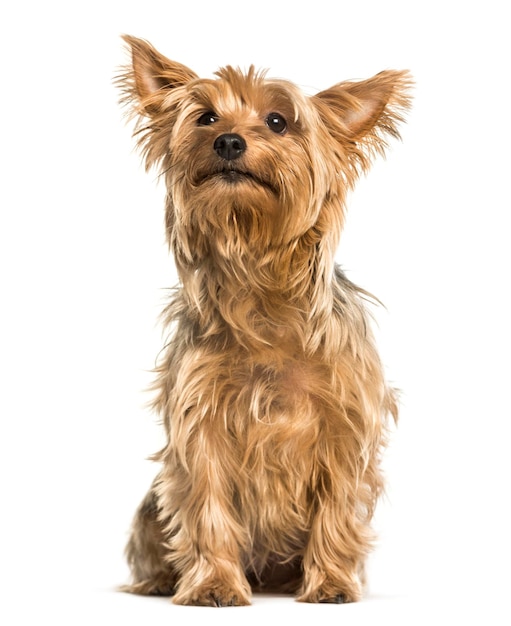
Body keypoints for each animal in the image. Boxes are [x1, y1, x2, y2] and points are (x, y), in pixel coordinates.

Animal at [117, 35, 412, 604]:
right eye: (206, 117)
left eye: (278, 121)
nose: (229, 142)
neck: (259, 283)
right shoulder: (201, 419)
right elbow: (206, 504)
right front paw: (212, 584)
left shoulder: (343, 423)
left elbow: (337, 506)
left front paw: (332, 583)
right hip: (151, 508)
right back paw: (164, 579)